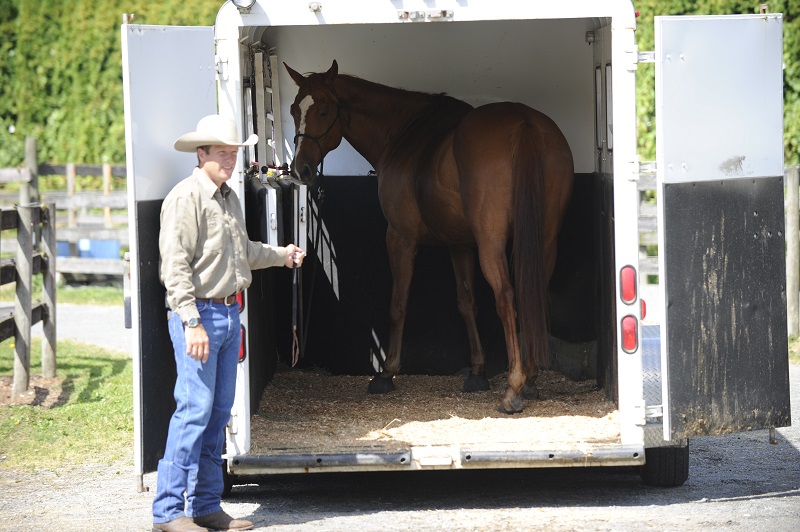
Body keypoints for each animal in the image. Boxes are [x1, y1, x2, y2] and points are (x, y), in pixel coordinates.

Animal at [285, 60, 574, 413]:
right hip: (545, 240)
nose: (300, 170)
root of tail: (524, 122)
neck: (404, 135)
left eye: (324, 110)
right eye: (294, 110)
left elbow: (398, 303)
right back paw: (530, 378)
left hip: (491, 243)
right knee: (533, 292)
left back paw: (514, 388)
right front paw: (477, 372)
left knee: (506, 297)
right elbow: (466, 302)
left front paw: (387, 373)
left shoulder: (400, 237)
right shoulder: (459, 244)